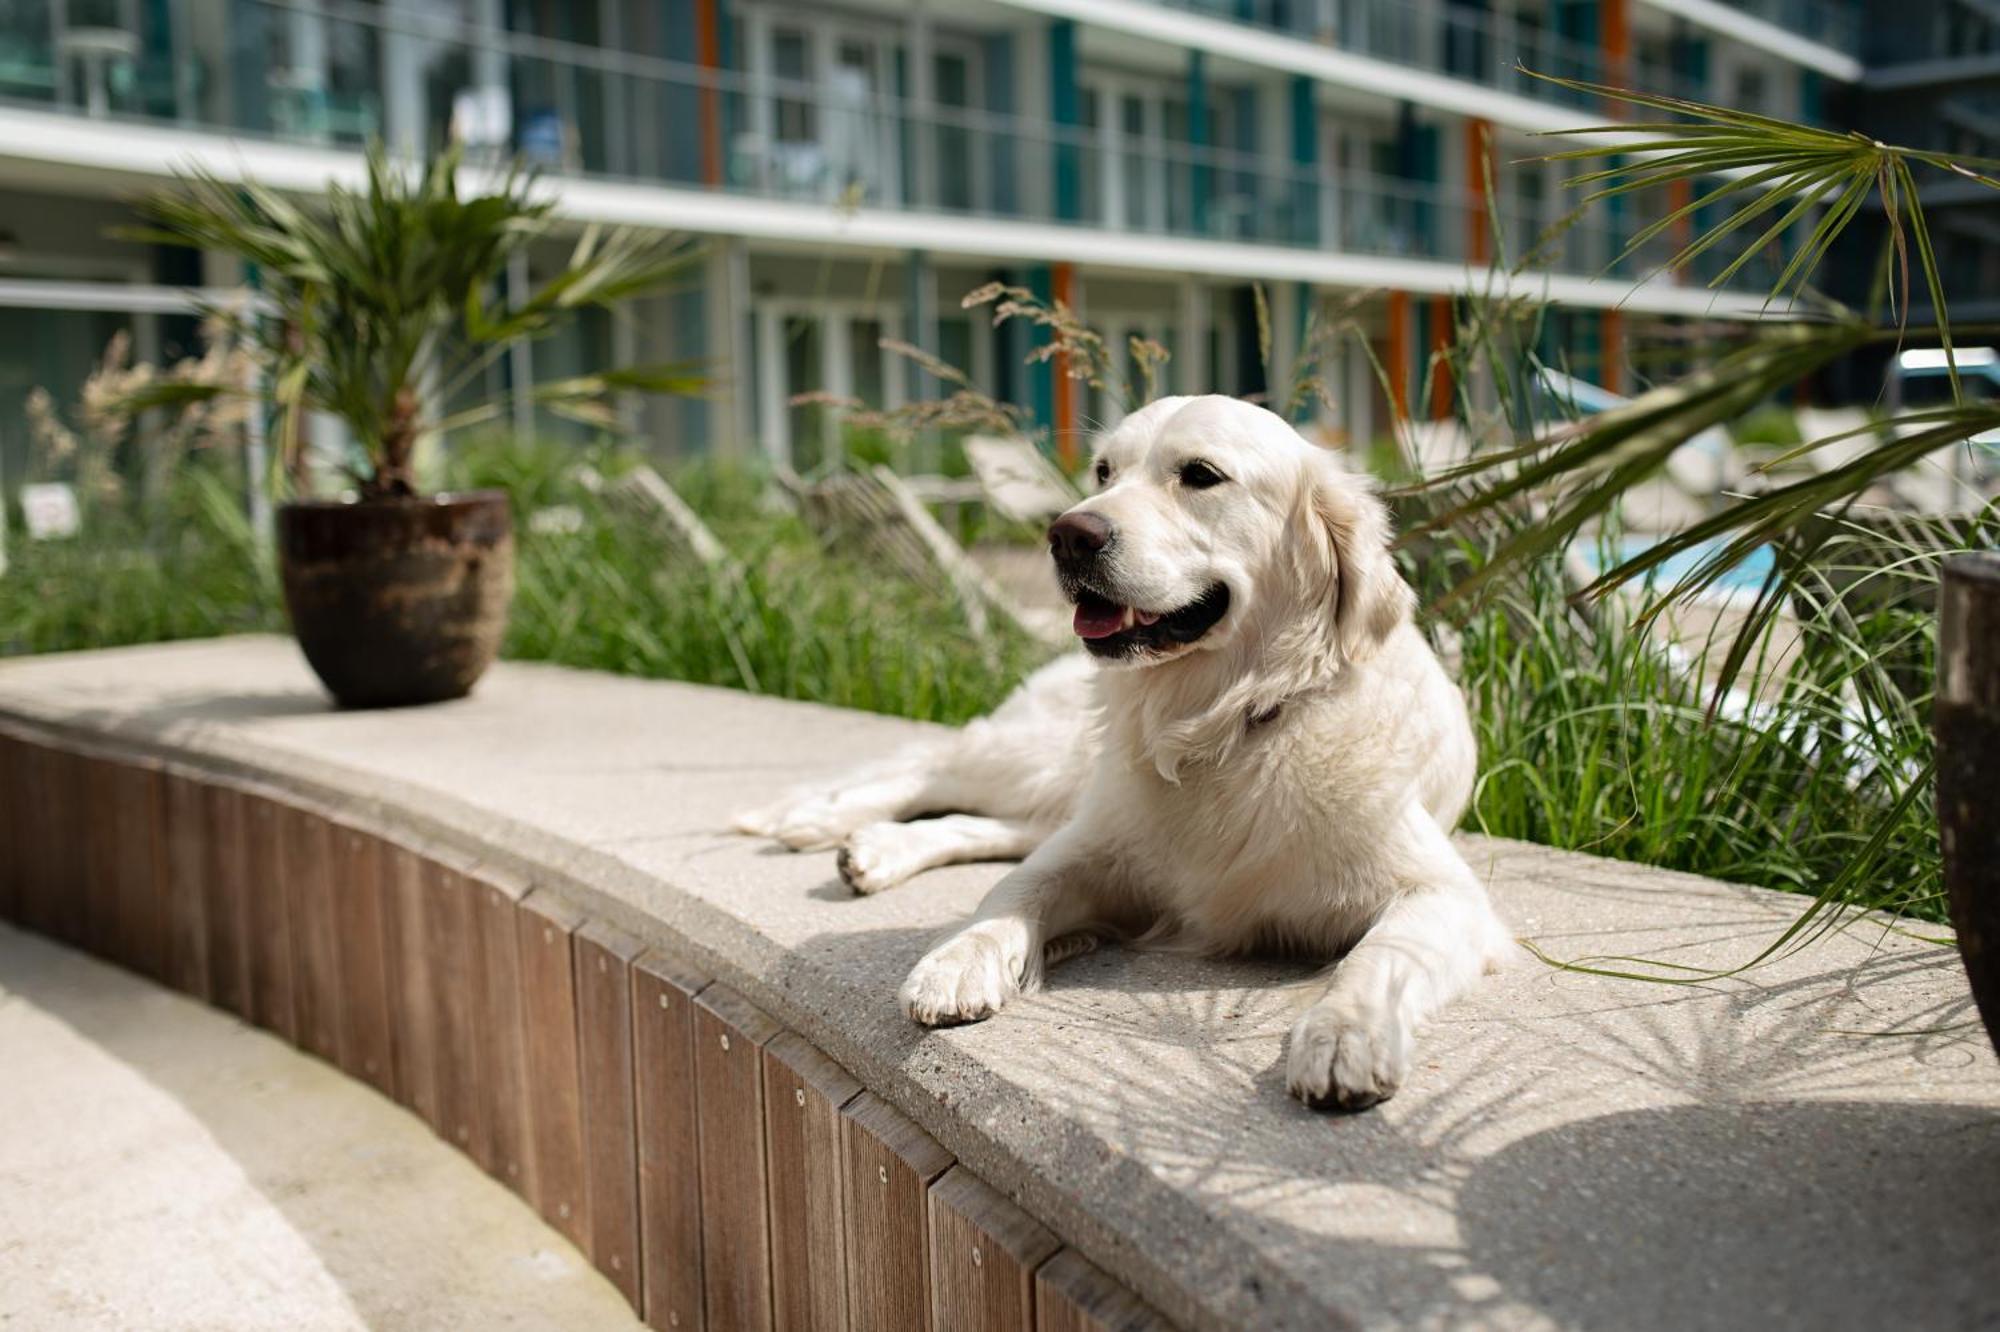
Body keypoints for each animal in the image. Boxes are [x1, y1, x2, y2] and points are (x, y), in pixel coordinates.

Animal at [744, 396, 1504, 1112]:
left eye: (1200, 475)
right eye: (1103, 472)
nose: (1067, 534)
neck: (1226, 724)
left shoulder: (1443, 893)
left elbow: (1380, 957)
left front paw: (1344, 1033)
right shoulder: (1099, 849)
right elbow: (1014, 887)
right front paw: (956, 959)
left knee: (983, 818)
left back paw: (873, 848)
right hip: (1049, 756)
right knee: (930, 768)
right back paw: (820, 818)